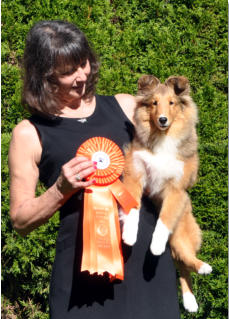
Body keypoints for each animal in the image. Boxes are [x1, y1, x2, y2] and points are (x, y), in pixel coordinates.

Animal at [121, 75, 212, 312]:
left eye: (171, 103)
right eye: (154, 103)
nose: (162, 120)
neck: (163, 138)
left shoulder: (176, 190)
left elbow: (163, 221)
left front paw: (155, 246)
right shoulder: (135, 174)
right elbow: (132, 208)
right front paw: (129, 235)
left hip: (180, 233)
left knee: (187, 260)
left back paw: (203, 268)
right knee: (182, 266)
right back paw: (190, 301)